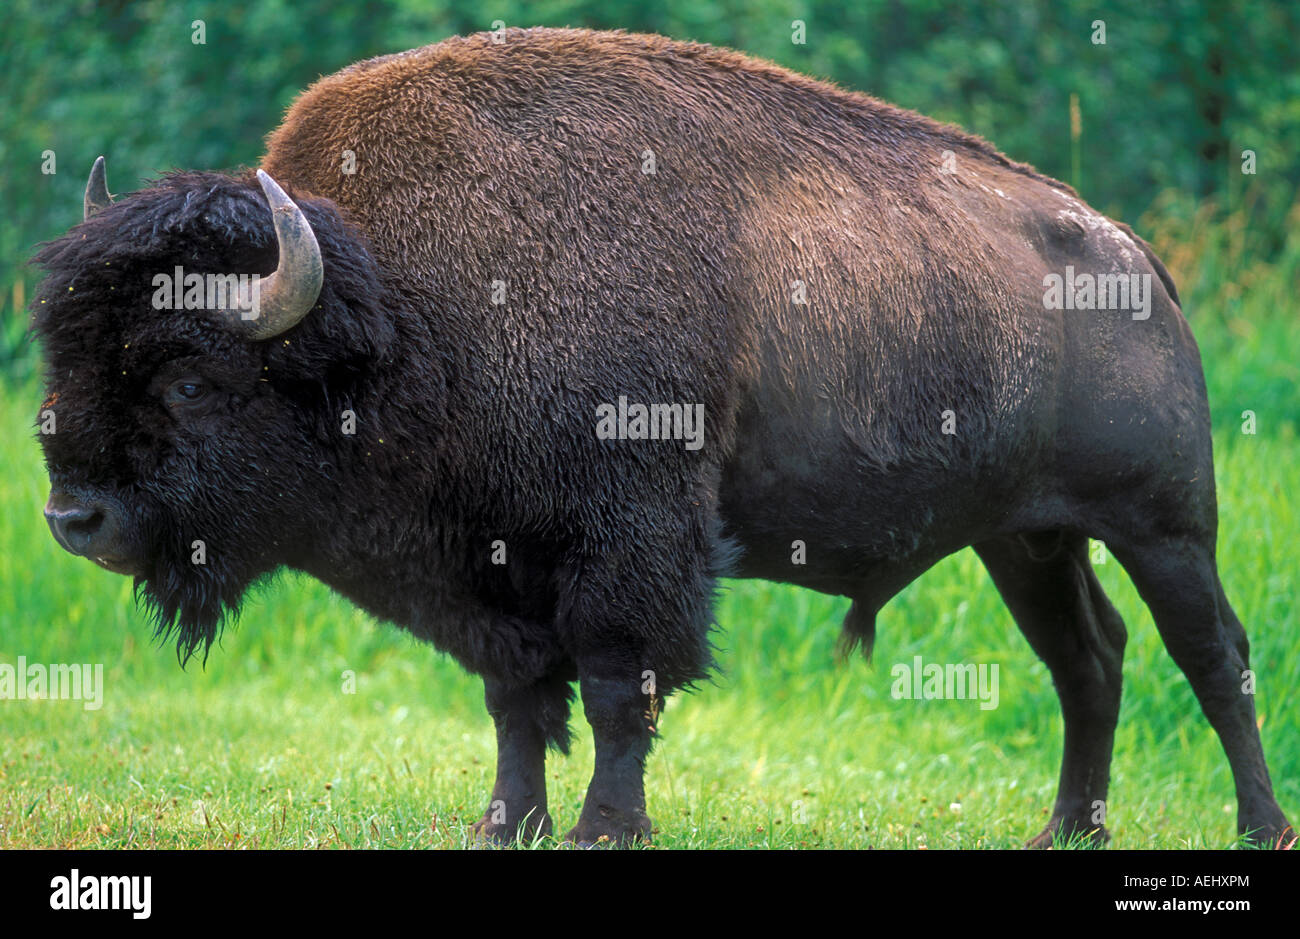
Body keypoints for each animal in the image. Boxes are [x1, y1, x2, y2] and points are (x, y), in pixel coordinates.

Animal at [30, 25, 1289, 842]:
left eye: (192, 380)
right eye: (64, 353)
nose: (73, 516)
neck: (400, 311)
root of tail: (1133, 257)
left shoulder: (628, 549)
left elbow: (614, 689)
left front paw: (604, 827)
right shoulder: (487, 578)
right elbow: (516, 700)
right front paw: (505, 823)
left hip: (1163, 528)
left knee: (1208, 656)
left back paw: (1256, 827)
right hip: (1024, 539)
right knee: (1089, 659)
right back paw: (1065, 831)